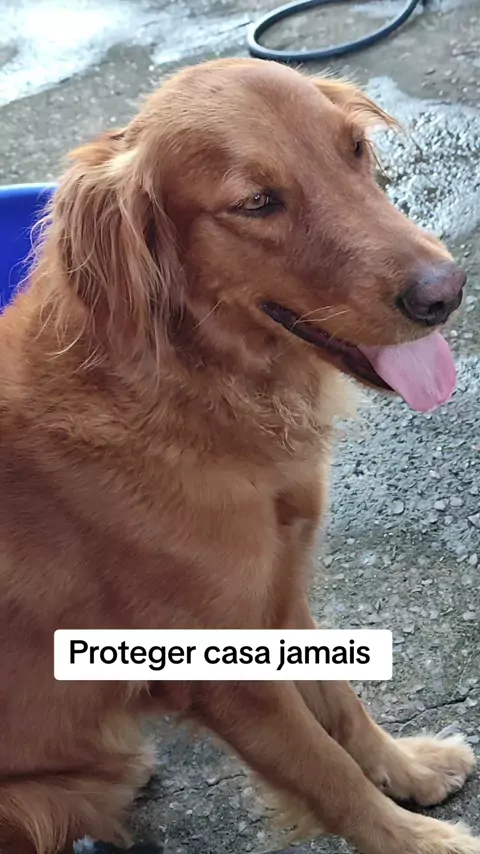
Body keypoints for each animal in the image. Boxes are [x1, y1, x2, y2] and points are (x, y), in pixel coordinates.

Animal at [0, 58, 476, 854]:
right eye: (256, 203)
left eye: (353, 150)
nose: (446, 293)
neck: (195, 390)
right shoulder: (220, 673)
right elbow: (324, 769)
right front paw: (415, 840)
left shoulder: (279, 593)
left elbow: (343, 709)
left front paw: (408, 770)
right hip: (28, 805)